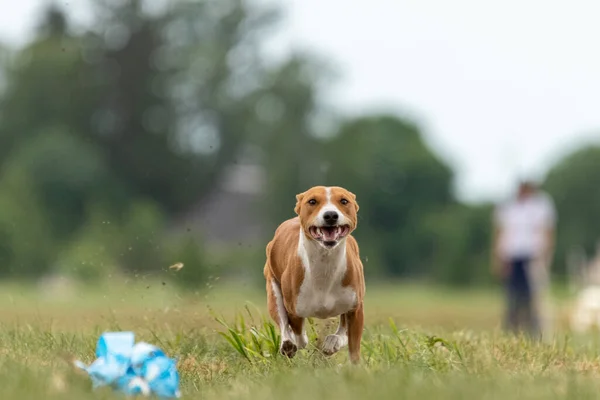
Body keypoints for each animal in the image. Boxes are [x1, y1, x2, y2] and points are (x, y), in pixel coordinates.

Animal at [264, 186, 366, 364]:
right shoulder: (294, 309)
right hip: (273, 288)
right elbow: (299, 335)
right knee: (282, 321)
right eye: (312, 201)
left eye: (344, 200)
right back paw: (288, 344)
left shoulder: (356, 307)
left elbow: (353, 345)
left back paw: (332, 342)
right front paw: (294, 343)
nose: (330, 215)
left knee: (343, 328)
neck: (325, 265)